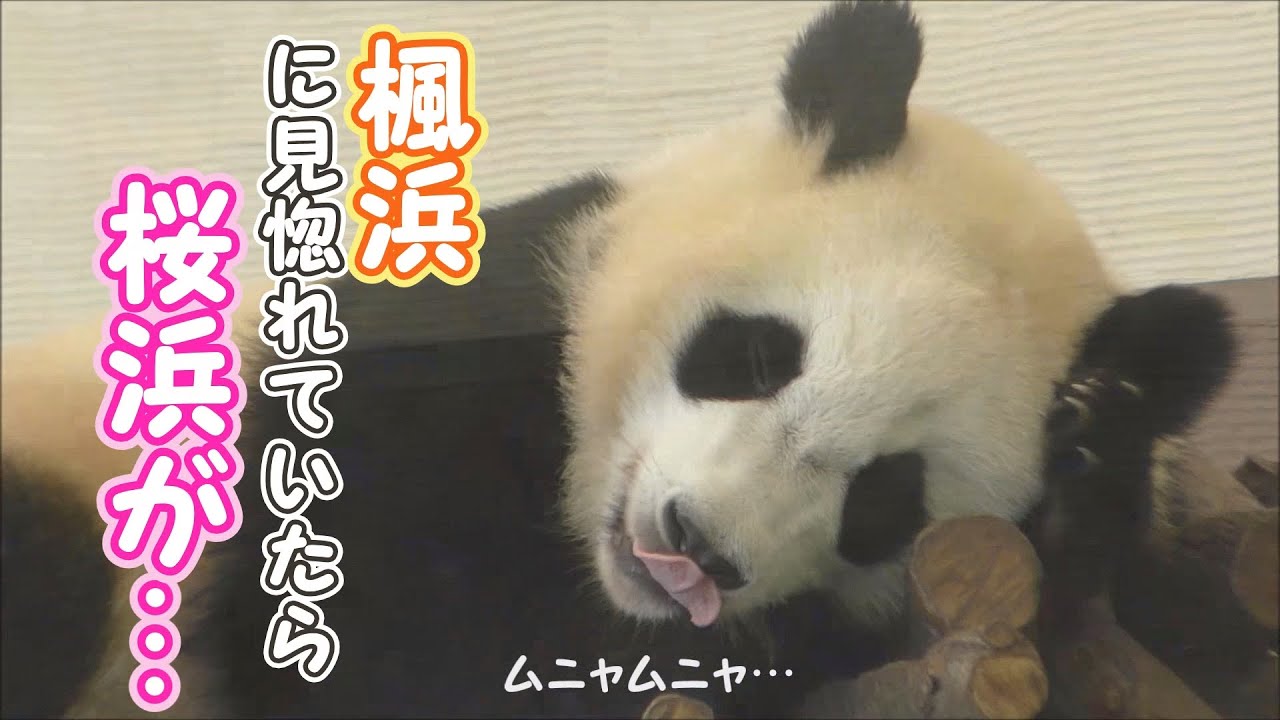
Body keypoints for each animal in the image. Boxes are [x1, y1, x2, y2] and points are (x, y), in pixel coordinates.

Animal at [0, 2, 1239, 719]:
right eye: (752, 355)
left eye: (886, 497)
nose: (696, 550)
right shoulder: (416, 390)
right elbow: (393, 643)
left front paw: (1092, 460)